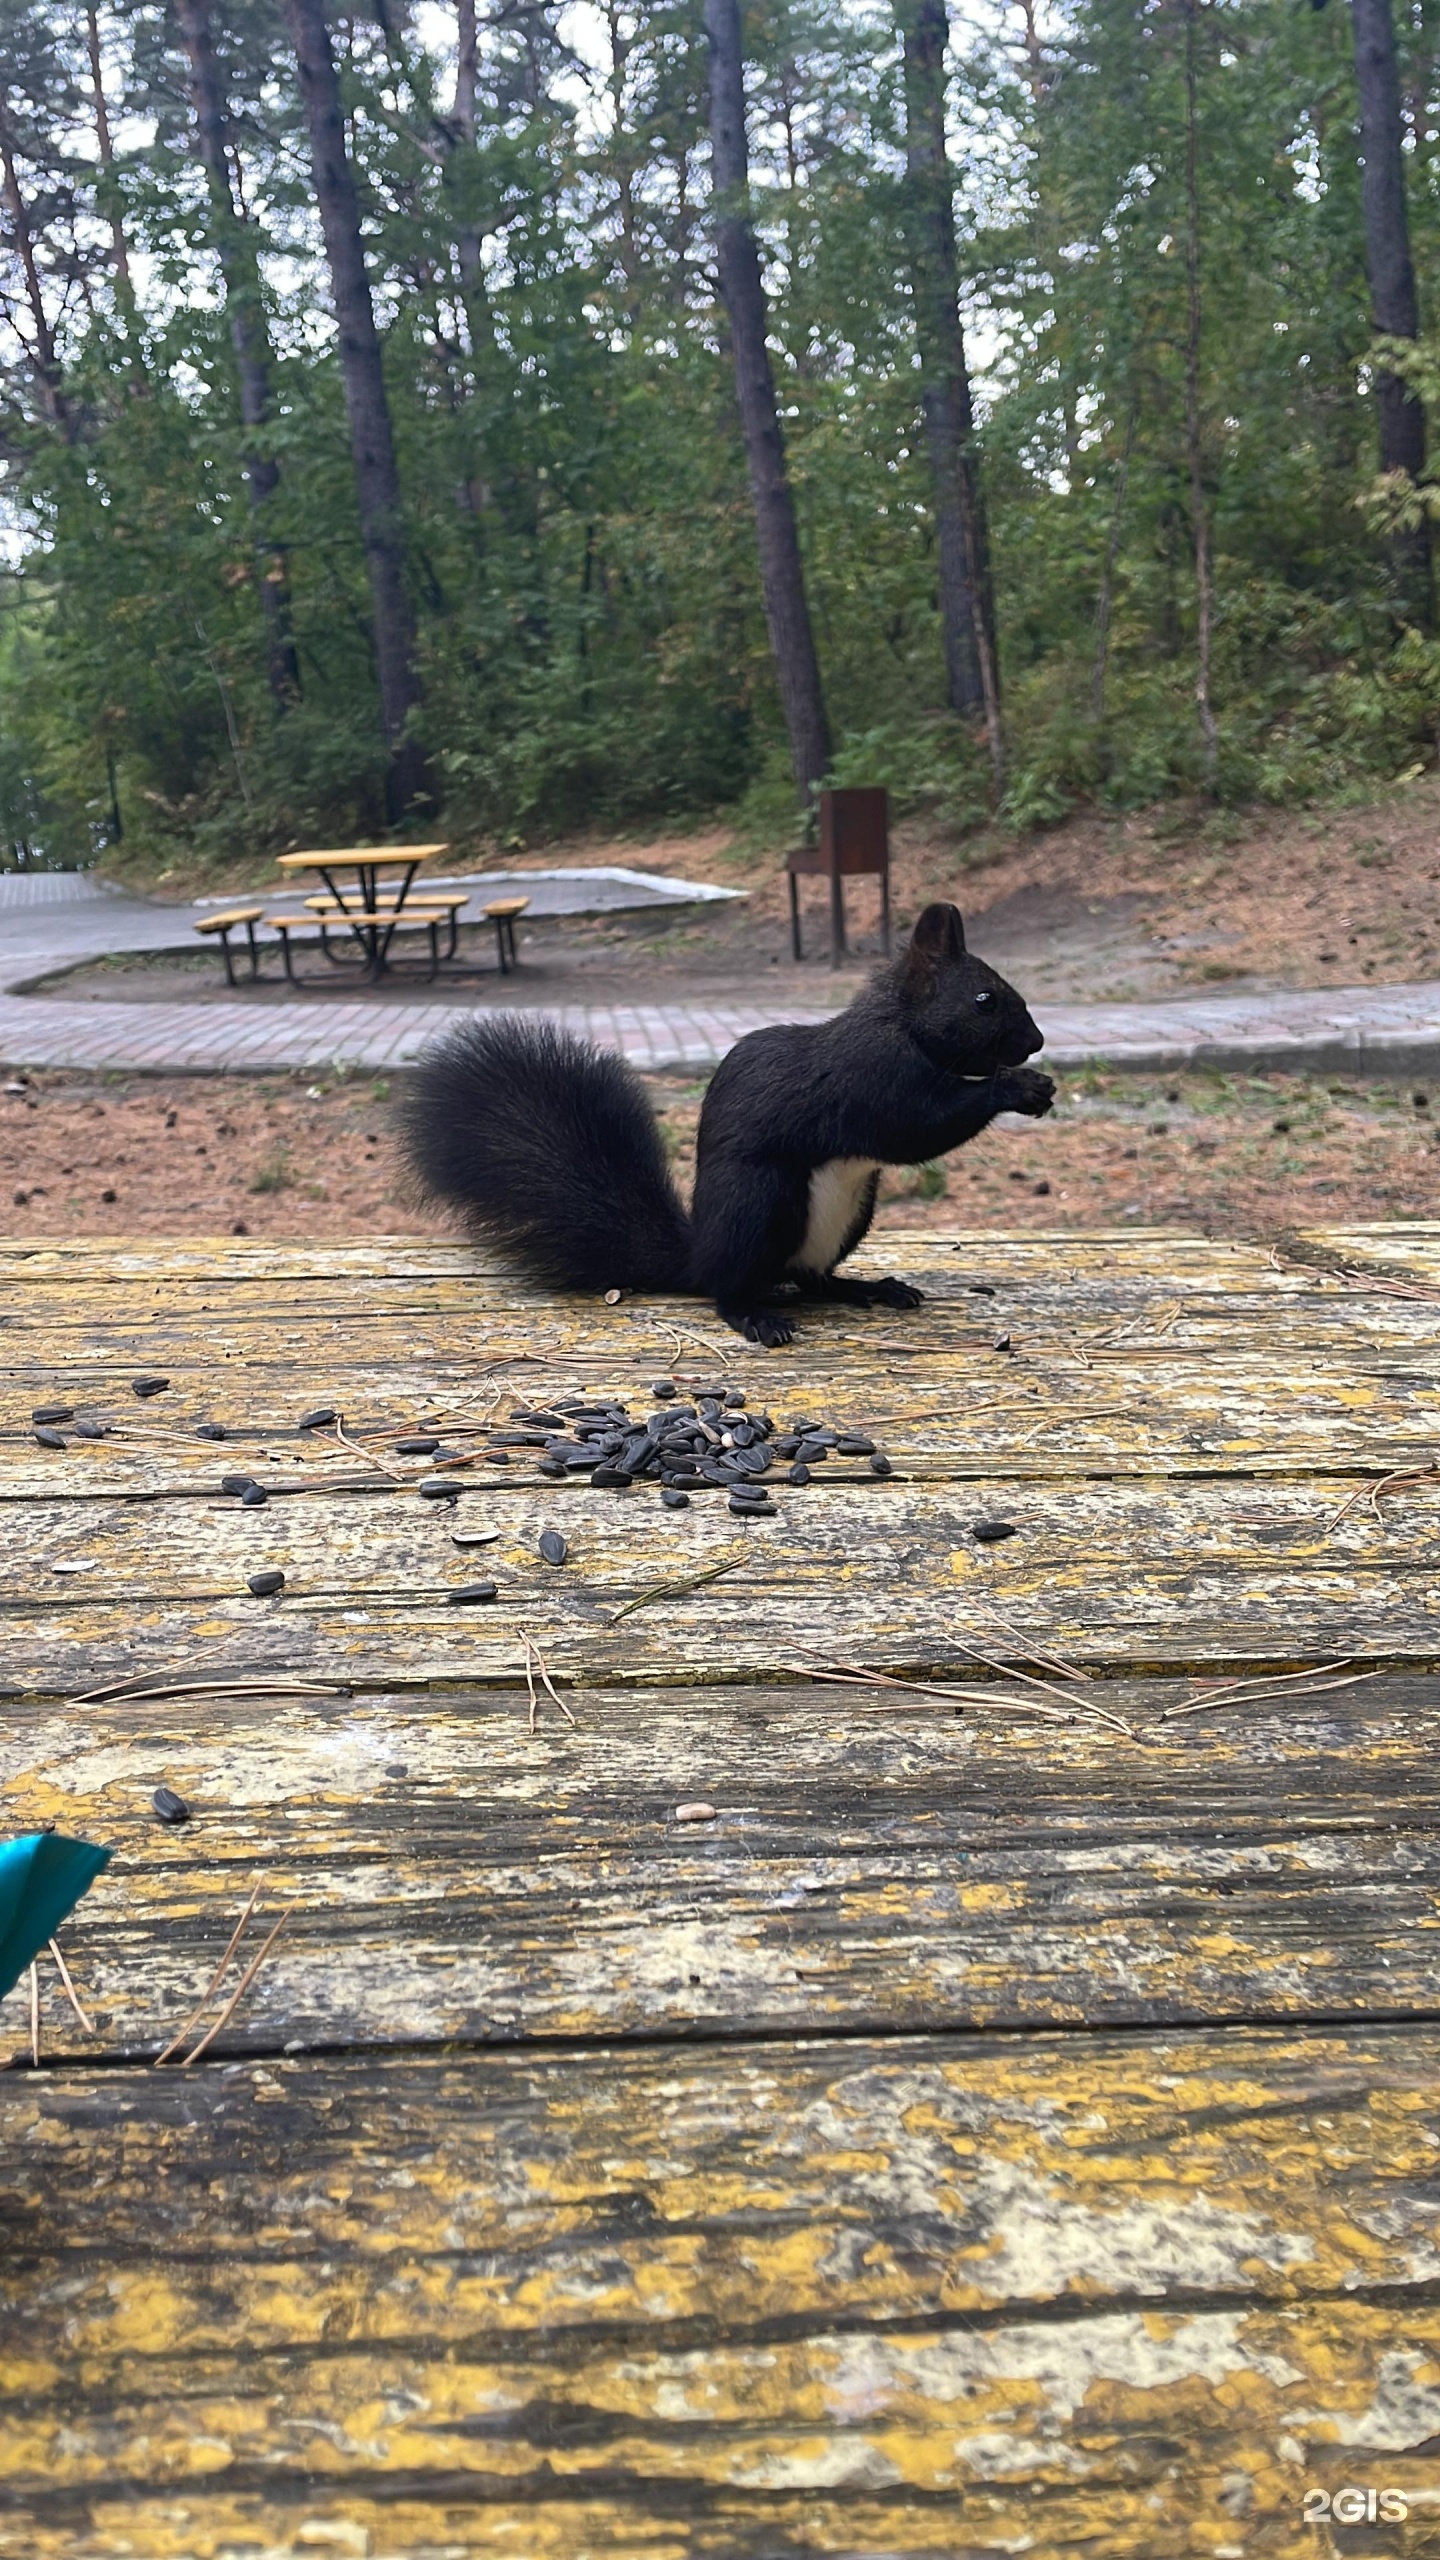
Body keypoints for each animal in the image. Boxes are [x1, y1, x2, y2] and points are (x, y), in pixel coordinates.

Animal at [397, 901, 1050, 1351]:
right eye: (986, 999)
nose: (1037, 1041)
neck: (901, 1024)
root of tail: (699, 1256)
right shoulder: (873, 1078)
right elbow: (919, 1127)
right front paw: (1017, 1088)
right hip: (759, 1200)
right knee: (730, 1291)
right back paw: (755, 1317)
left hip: (850, 1211)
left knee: (813, 1281)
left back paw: (869, 1288)